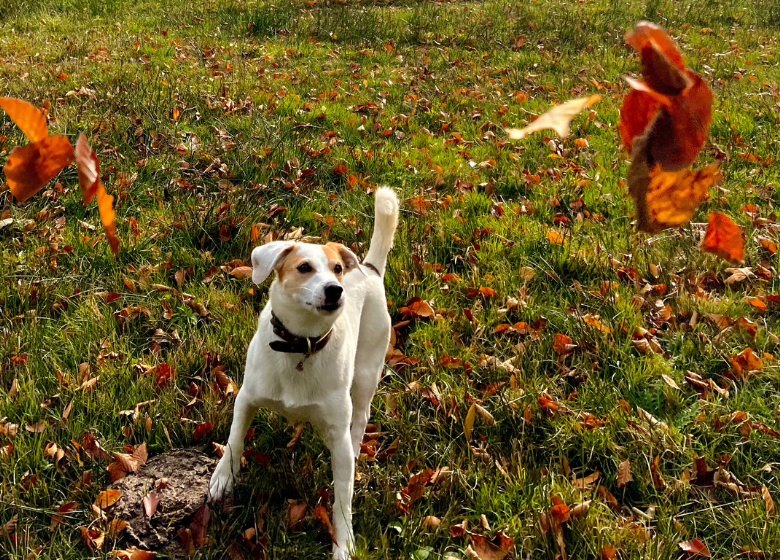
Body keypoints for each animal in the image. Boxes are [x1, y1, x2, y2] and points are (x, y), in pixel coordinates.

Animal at [210, 186, 400, 556]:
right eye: (304, 267)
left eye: (337, 268)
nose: (336, 289)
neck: (301, 344)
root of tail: (369, 269)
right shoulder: (246, 398)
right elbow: (235, 439)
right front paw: (224, 477)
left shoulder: (337, 434)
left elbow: (342, 500)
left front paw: (344, 544)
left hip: (366, 373)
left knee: (361, 416)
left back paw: (357, 443)